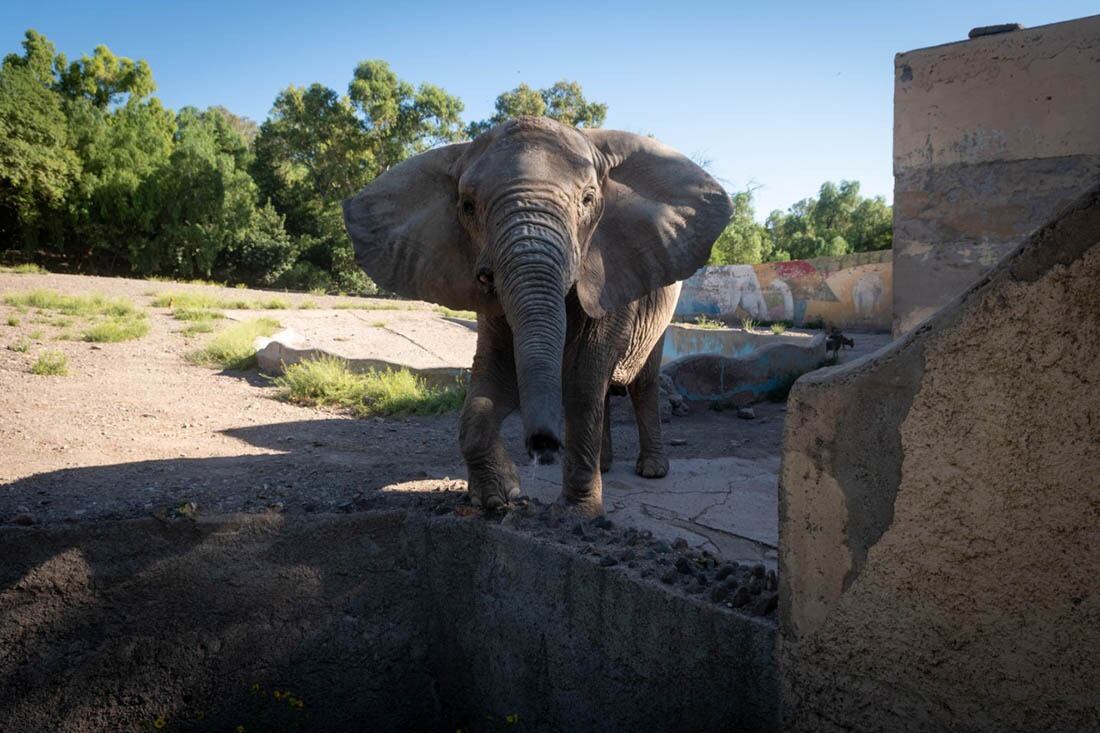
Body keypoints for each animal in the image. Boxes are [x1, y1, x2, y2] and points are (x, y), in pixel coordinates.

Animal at [343, 115, 730, 512]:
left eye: (588, 200)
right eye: (467, 206)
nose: (542, 447)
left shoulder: (610, 273)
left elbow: (582, 381)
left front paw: (578, 512)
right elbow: (494, 375)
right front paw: (500, 497)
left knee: (642, 382)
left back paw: (652, 470)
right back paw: (605, 466)